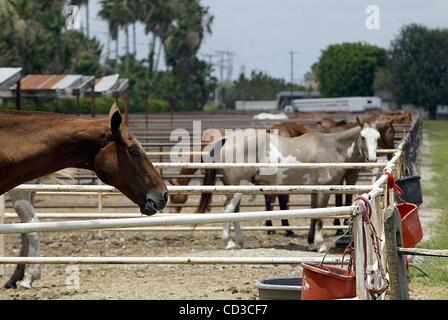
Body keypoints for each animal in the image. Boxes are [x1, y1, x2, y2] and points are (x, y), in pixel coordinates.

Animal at [198, 121, 380, 251]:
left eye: (377, 138)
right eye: (363, 137)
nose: (372, 159)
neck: (332, 147)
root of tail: (227, 139)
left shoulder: (315, 191)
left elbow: (314, 214)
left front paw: (311, 243)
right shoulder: (324, 190)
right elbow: (320, 217)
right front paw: (320, 245)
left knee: (234, 211)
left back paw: (242, 242)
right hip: (238, 186)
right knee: (228, 209)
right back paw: (229, 242)